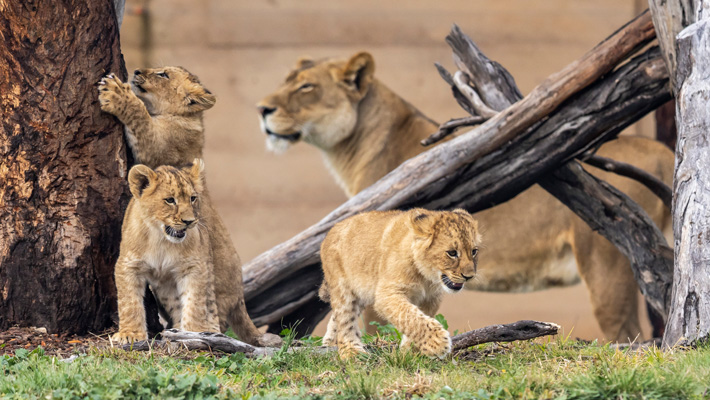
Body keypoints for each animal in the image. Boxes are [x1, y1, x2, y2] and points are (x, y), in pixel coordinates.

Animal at [99, 69, 281, 347]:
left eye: (163, 74)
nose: (137, 71)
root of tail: (240, 298)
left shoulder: (155, 149)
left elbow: (140, 117)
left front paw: (116, 94)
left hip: (213, 283)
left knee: (211, 314)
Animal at [319, 208, 481, 358]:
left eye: (474, 251)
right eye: (452, 253)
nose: (469, 277)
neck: (426, 277)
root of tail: (332, 230)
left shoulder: (431, 298)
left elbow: (419, 318)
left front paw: (409, 352)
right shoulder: (387, 294)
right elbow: (410, 316)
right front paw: (437, 342)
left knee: (337, 316)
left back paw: (329, 343)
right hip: (343, 288)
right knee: (345, 320)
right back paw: (352, 352)